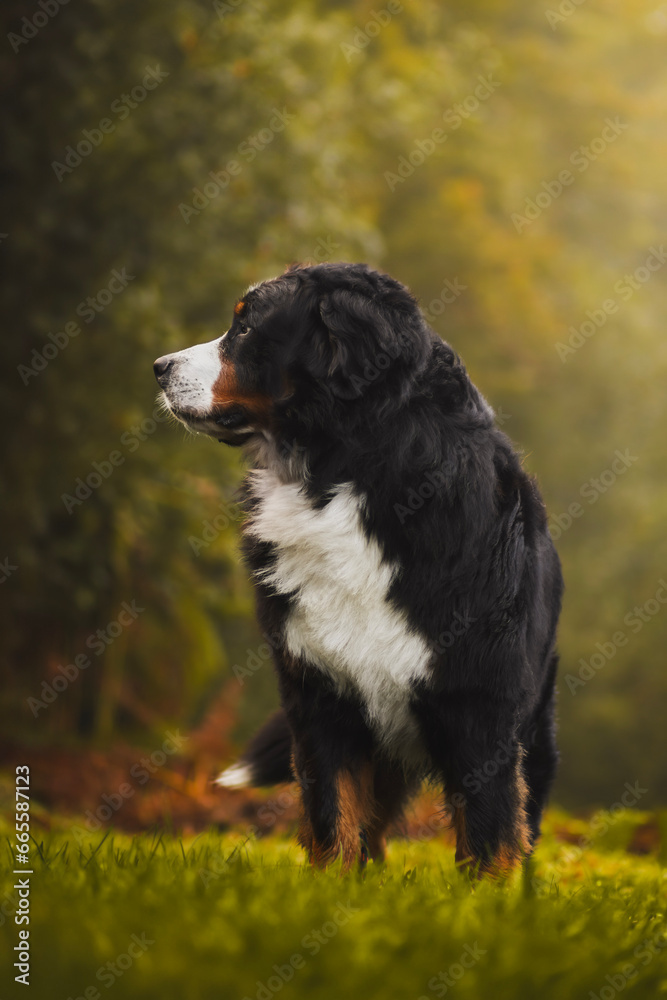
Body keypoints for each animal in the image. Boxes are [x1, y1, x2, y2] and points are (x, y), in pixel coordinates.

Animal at [155, 264, 564, 876]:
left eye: (246, 326)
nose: (159, 367)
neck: (345, 474)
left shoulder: (482, 704)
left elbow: (490, 836)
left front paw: (488, 898)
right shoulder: (321, 692)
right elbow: (334, 817)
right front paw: (334, 892)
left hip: (532, 725)